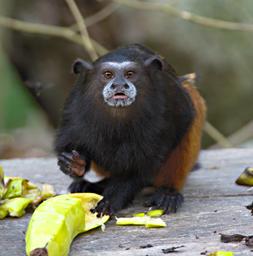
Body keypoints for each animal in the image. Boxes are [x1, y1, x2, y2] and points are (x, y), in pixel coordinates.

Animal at [54, 44, 206, 216]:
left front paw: (113, 200)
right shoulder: (75, 102)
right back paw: (95, 184)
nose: (119, 85)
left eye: (130, 74)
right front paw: (75, 164)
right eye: (108, 75)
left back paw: (168, 192)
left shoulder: (170, 93)